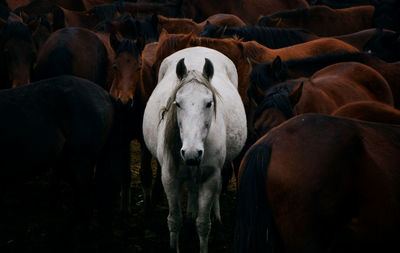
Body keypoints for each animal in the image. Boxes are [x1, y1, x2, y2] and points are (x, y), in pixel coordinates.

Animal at [141, 46, 247, 252]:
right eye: (177, 103)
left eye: (209, 103)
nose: (191, 153)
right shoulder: (169, 177)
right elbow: (174, 220)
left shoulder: (210, 177)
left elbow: (203, 223)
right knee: (191, 189)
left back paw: (218, 228)